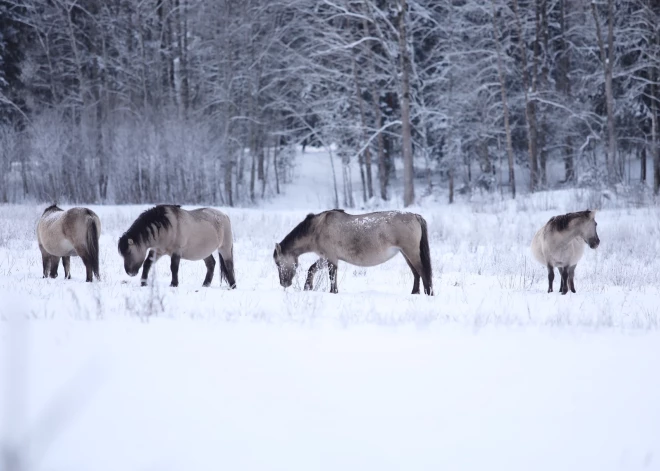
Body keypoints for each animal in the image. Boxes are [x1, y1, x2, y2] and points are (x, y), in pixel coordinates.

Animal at [272, 209, 434, 296]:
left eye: (278, 263)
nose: (283, 283)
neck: (317, 229)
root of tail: (415, 215)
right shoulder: (325, 257)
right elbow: (312, 268)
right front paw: (308, 287)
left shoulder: (331, 258)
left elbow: (332, 277)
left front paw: (333, 292)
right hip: (405, 254)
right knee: (416, 273)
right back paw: (414, 293)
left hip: (411, 252)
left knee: (423, 272)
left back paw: (429, 294)